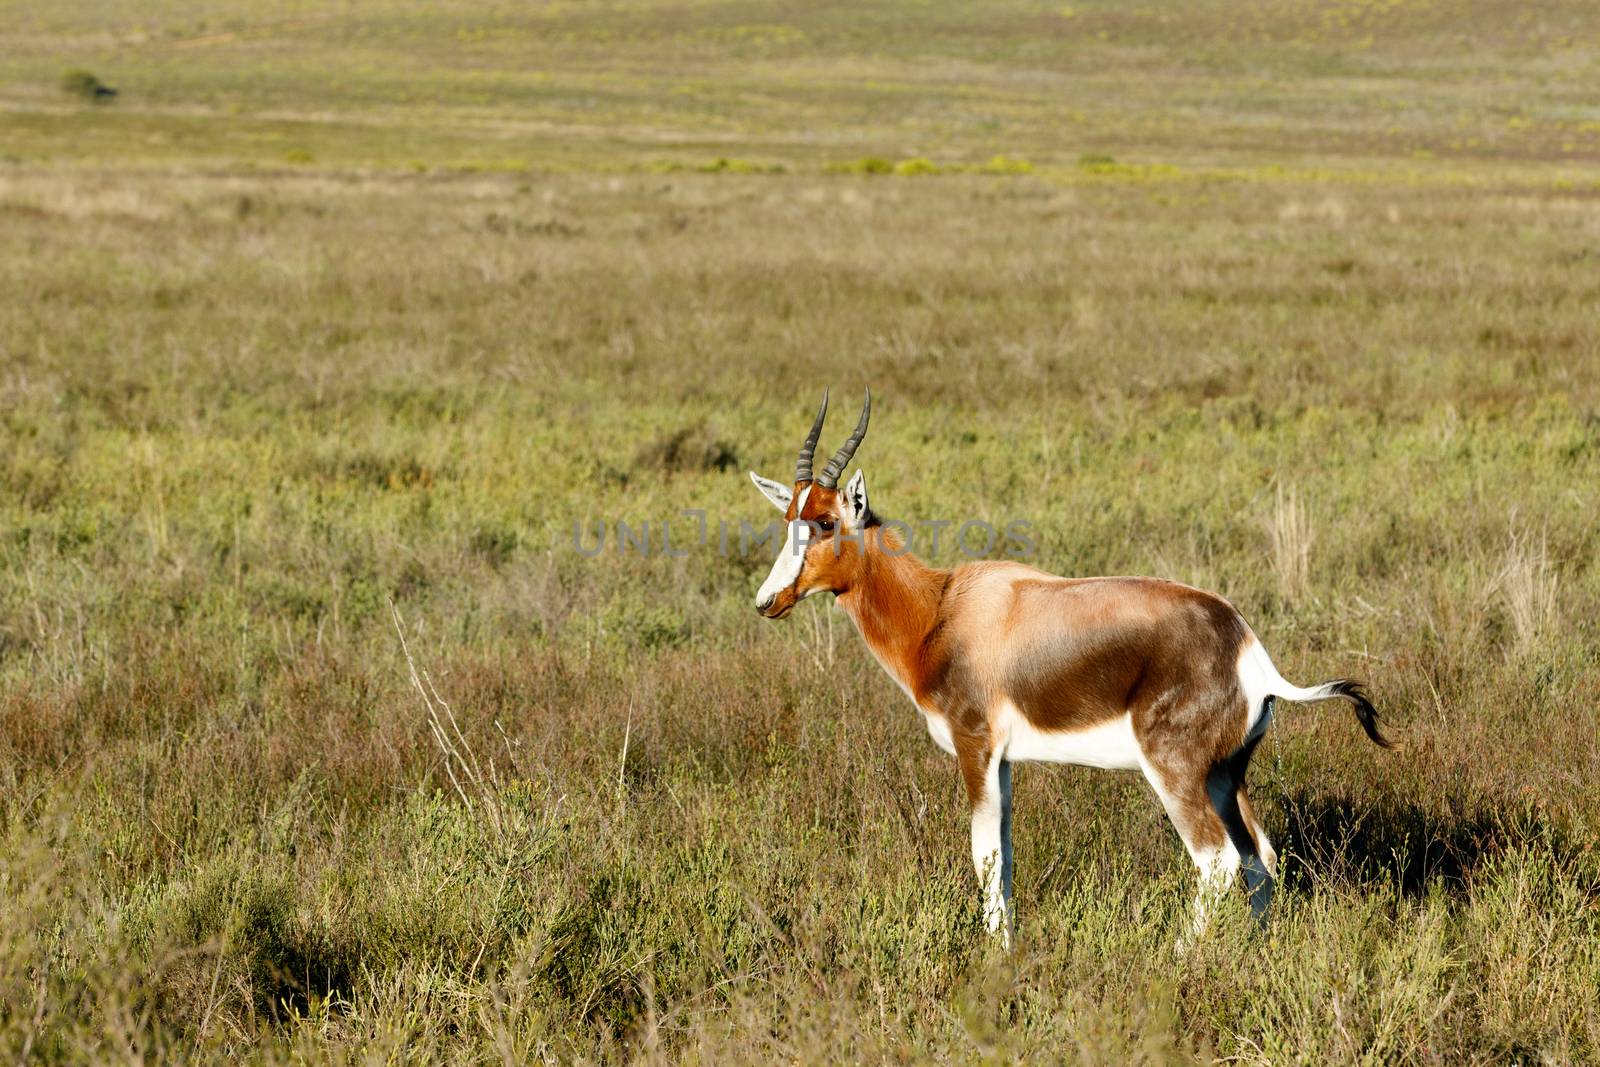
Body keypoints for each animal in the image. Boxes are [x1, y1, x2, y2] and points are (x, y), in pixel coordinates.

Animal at [748, 391, 1388, 940]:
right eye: (789, 520)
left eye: (827, 522)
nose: (767, 601)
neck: (945, 609)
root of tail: (1248, 648)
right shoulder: (1003, 761)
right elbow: (1004, 861)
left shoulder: (975, 748)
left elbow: (984, 857)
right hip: (1225, 775)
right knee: (1261, 859)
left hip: (1176, 770)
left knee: (1218, 862)